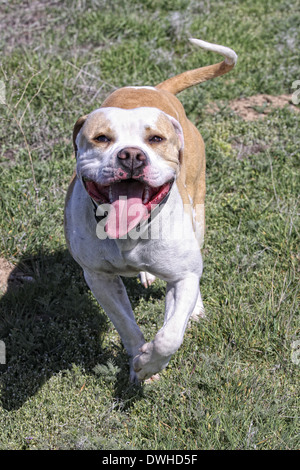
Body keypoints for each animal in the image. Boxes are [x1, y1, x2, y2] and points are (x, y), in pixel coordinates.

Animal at [63, 37, 237, 382]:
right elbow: (126, 325)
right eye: (101, 138)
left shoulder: (181, 276)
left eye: (155, 139)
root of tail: (158, 89)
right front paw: (139, 363)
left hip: (198, 213)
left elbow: (170, 334)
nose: (131, 155)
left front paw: (150, 362)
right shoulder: (99, 278)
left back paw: (195, 307)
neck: (131, 234)